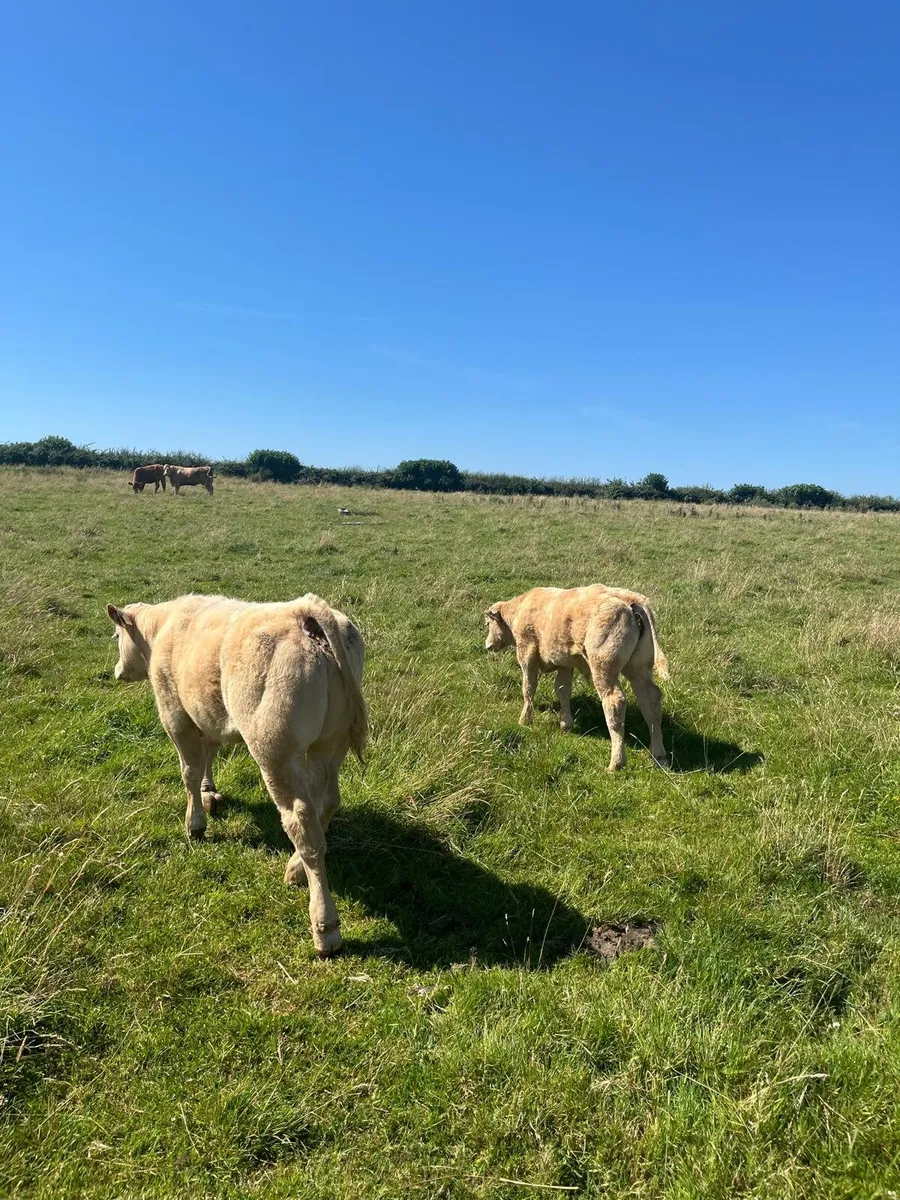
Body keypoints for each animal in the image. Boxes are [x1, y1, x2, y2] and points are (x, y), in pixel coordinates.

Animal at [106, 592, 367, 957]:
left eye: (116, 636)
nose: (116, 672)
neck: (162, 629)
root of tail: (302, 611)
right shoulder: (207, 712)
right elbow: (208, 753)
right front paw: (209, 792)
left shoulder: (175, 715)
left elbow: (189, 770)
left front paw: (195, 822)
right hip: (330, 743)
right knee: (324, 803)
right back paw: (295, 868)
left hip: (275, 751)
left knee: (300, 821)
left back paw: (325, 927)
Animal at [483, 584, 670, 772]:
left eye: (488, 624)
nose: (487, 645)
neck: (519, 609)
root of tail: (628, 599)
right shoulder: (565, 662)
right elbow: (563, 689)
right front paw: (566, 723)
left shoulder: (527, 654)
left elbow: (528, 688)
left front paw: (524, 720)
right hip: (639, 670)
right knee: (651, 701)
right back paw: (659, 757)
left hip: (604, 669)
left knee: (614, 702)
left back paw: (616, 763)